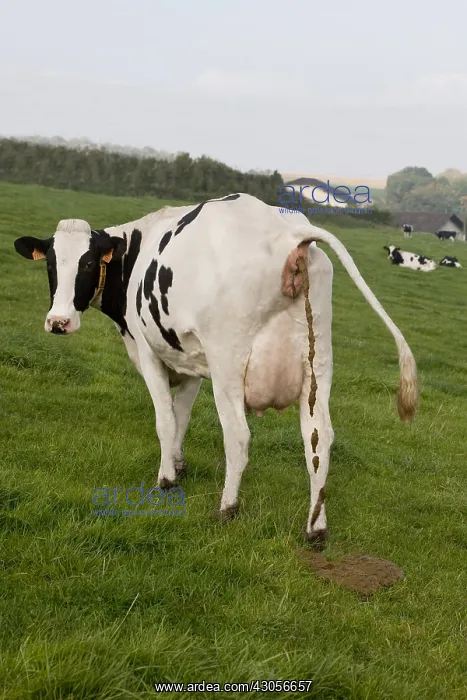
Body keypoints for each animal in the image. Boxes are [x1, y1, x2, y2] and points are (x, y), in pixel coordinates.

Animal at [14, 193, 418, 548]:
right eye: (50, 265)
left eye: (86, 264)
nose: (59, 322)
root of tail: (289, 233)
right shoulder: (190, 360)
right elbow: (182, 415)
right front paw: (178, 464)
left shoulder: (149, 352)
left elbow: (165, 419)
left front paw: (166, 480)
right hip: (318, 364)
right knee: (319, 438)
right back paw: (316, 528)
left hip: (229, 361)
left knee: (238, 436)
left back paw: (227, 508)